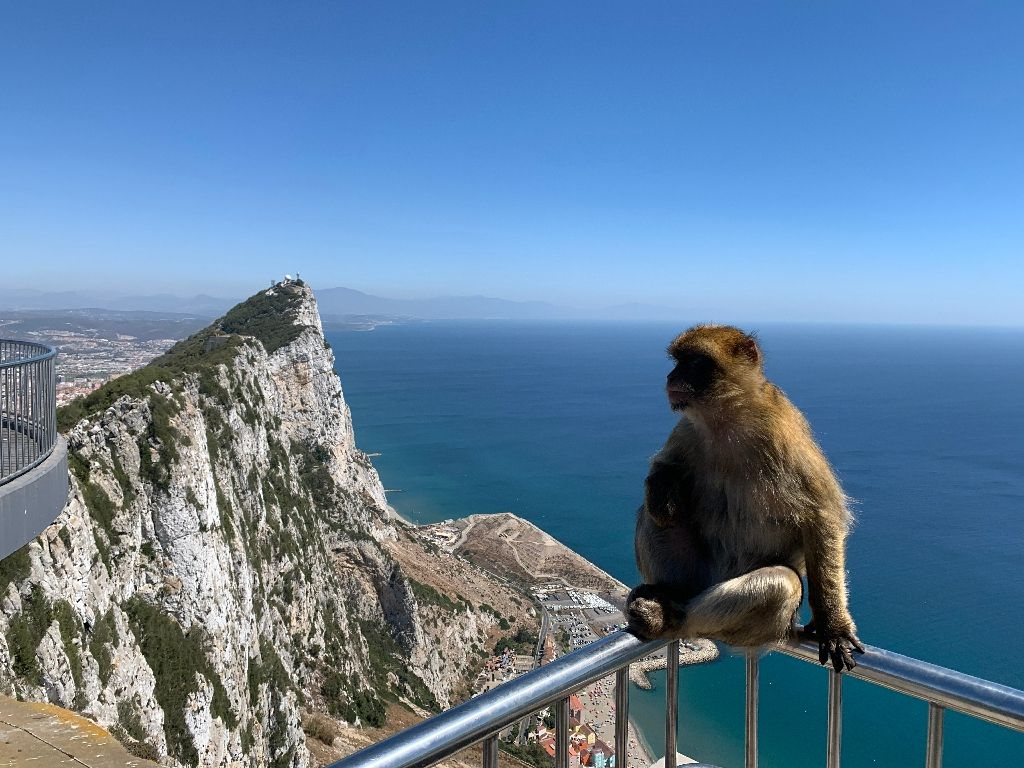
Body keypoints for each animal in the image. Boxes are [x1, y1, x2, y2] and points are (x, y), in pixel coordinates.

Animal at [626, 324, 865, 672]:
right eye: (678, 361)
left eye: (695, 362)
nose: (671, 376)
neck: (725, 420)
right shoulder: (686, 428)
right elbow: (664, 467)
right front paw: (664, 488)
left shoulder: (782, 431)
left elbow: (823, 516)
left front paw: (832, 626)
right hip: (698, 578)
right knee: (652, 516)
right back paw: (665, 596)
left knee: (782, 583)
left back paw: (673, 618)